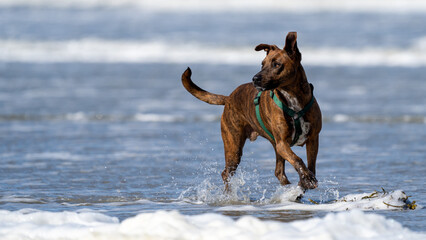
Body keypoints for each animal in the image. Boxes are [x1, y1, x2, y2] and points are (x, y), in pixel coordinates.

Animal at [181, 31, 322, 190]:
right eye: (262, 64)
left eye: (277, 64)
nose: (255, 78)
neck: (292, 97)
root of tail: (229, 98)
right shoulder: (282, 143)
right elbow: (297, 159)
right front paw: (307, 179)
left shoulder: (312, 139)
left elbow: (310, 165)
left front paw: (304, 181)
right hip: (234, 145)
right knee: (226, 173)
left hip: (272, 146)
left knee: (279, 172)